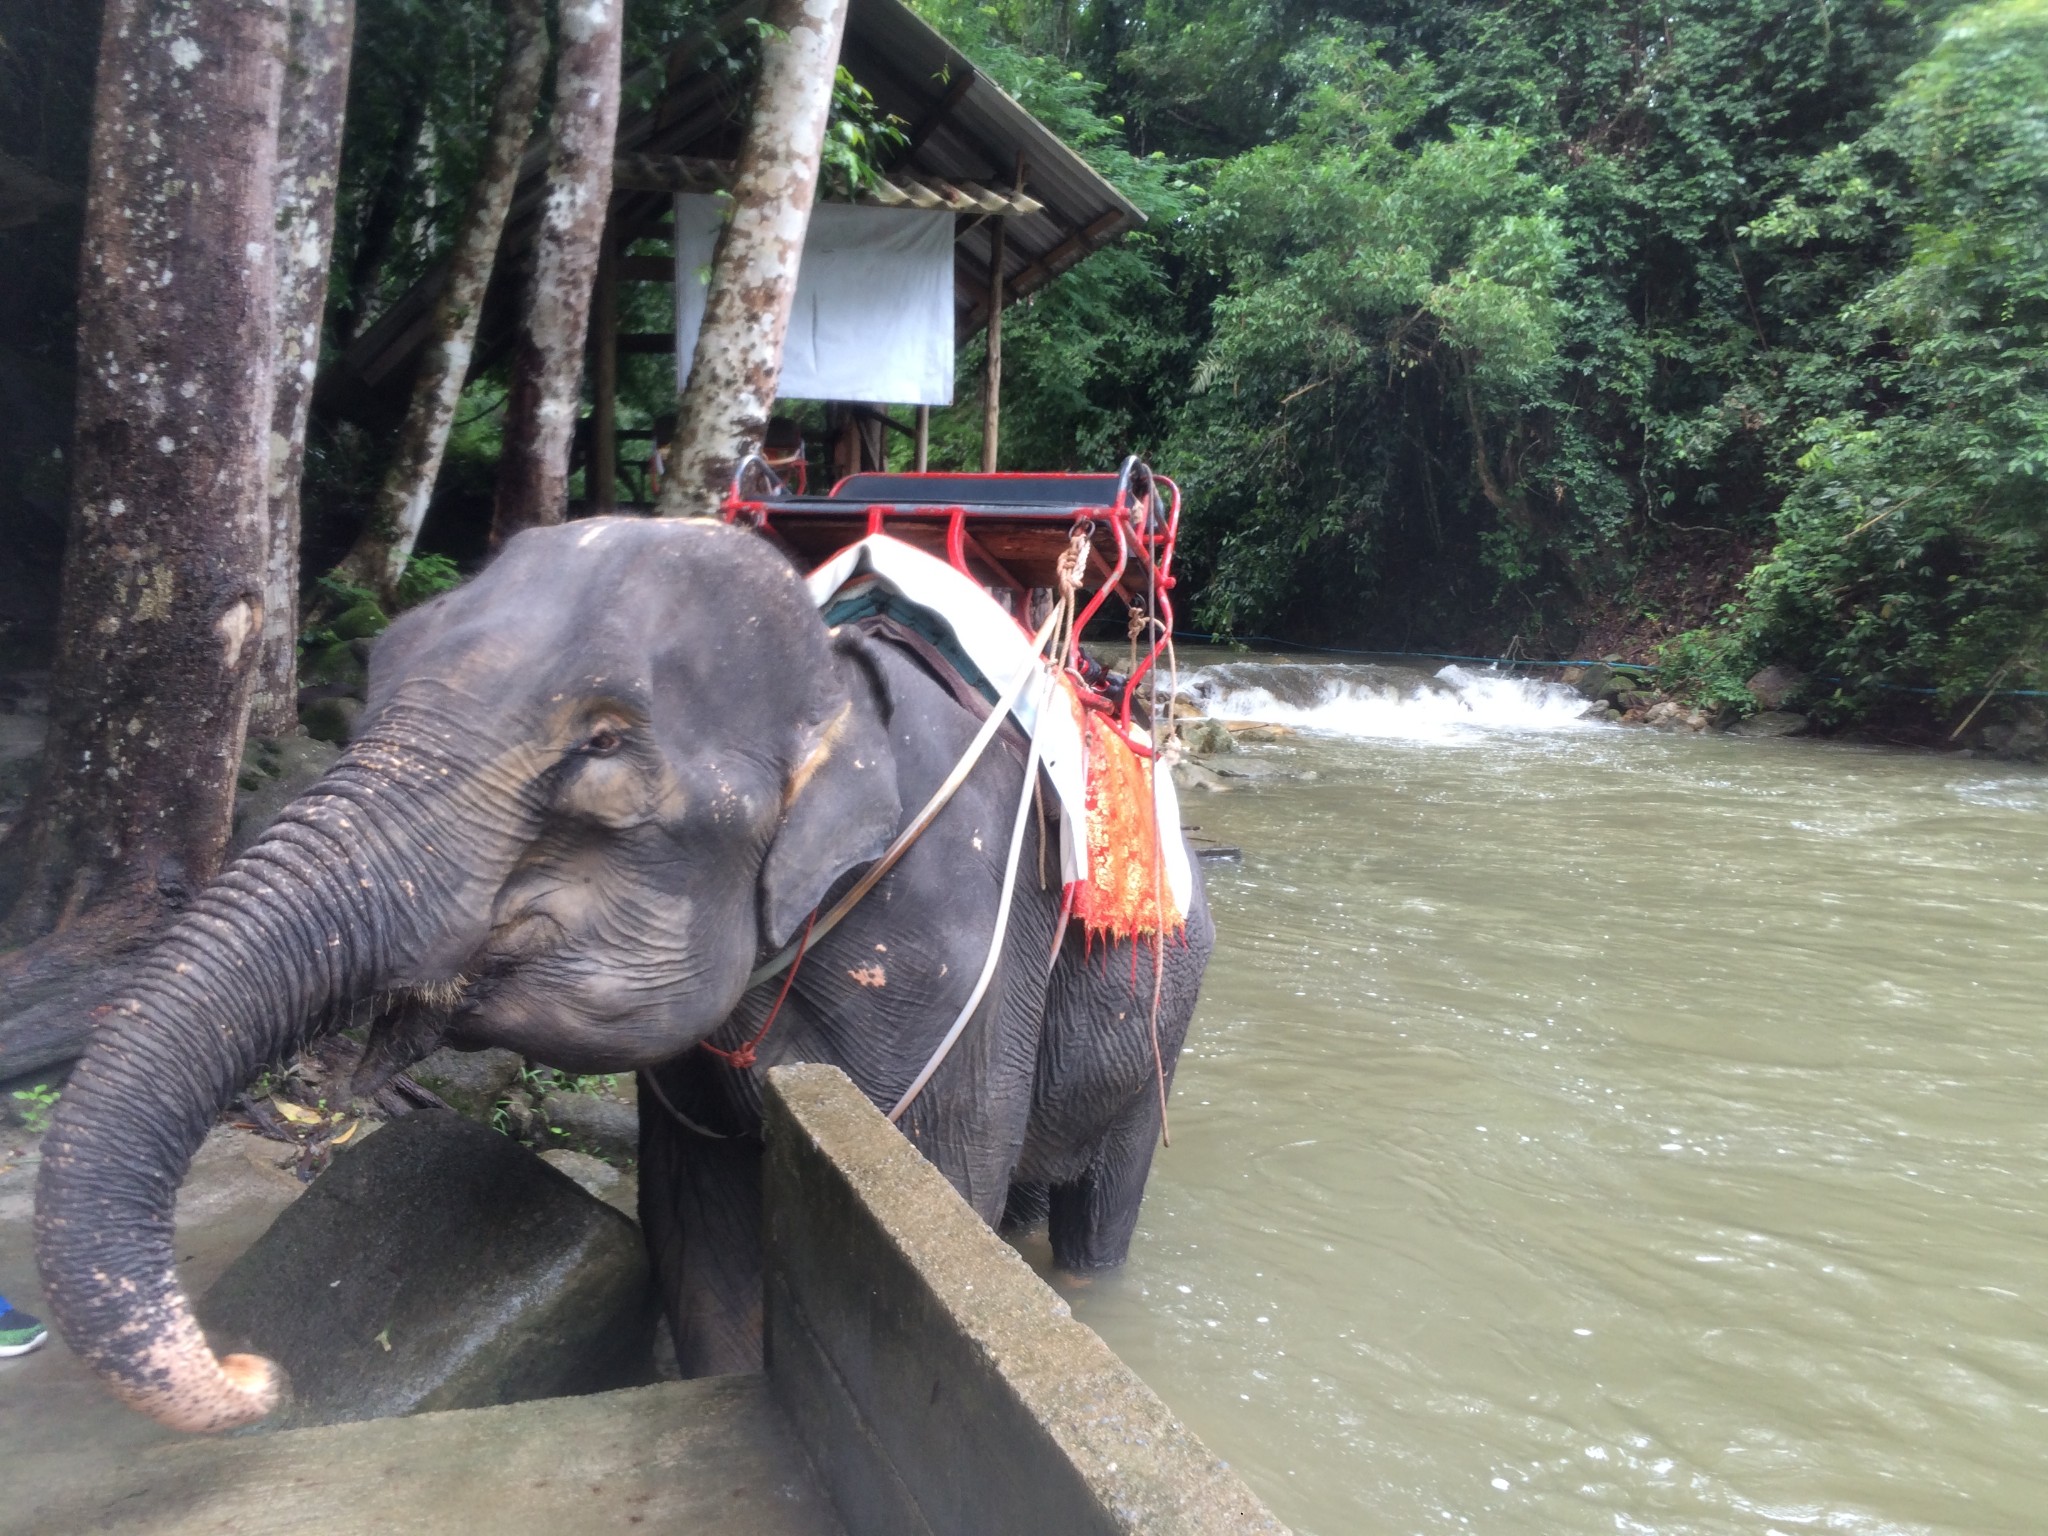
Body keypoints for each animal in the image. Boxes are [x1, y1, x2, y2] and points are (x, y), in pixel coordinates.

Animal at [32, 518, 1204, 1433]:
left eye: (599, 745)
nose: (253, 1370)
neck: (838, 686)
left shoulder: (945, 953)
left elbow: (936, 1197)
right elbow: (700, 1234)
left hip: (1160, 1036)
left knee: (1101, 1201)